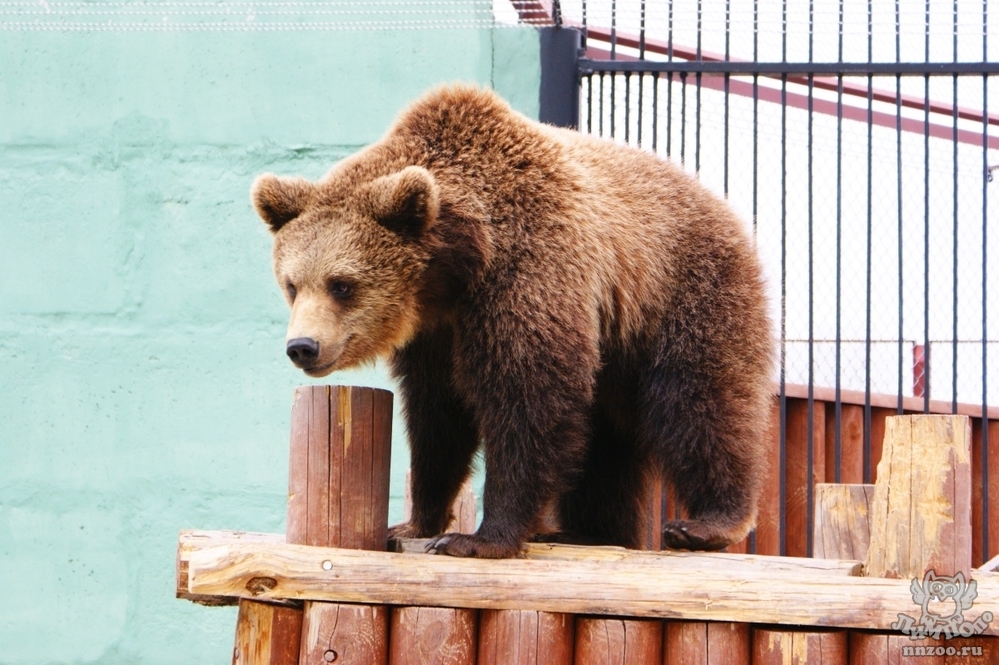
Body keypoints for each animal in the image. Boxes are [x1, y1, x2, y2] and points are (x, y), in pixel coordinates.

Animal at [248, 85, 772, 556]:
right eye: (292, 284)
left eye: (341, 284)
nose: (303, 347)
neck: (455, 266)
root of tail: (723, 205)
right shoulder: (436, 334)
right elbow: (438, 419)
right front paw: (414, 522)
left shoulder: (527, 276)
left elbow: (528, 400)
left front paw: (477, 537)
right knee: (606, 439)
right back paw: (587, 531)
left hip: (681, 294)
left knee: (698, 400)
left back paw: (706, 522)